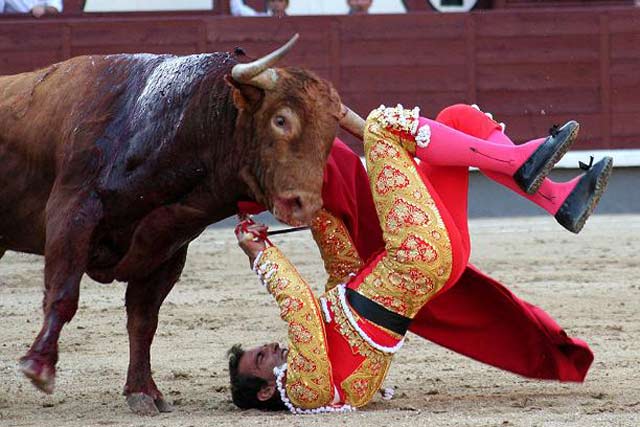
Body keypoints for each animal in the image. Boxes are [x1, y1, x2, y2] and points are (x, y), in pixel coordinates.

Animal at [0, 35, 360, 416]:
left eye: (330, 134)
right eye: (280, 120)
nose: (304, 204)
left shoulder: (167, 250)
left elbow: (143, 320)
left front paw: (143, 392)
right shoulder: (72, 215)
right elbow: (63, 295)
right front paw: (38, 366)